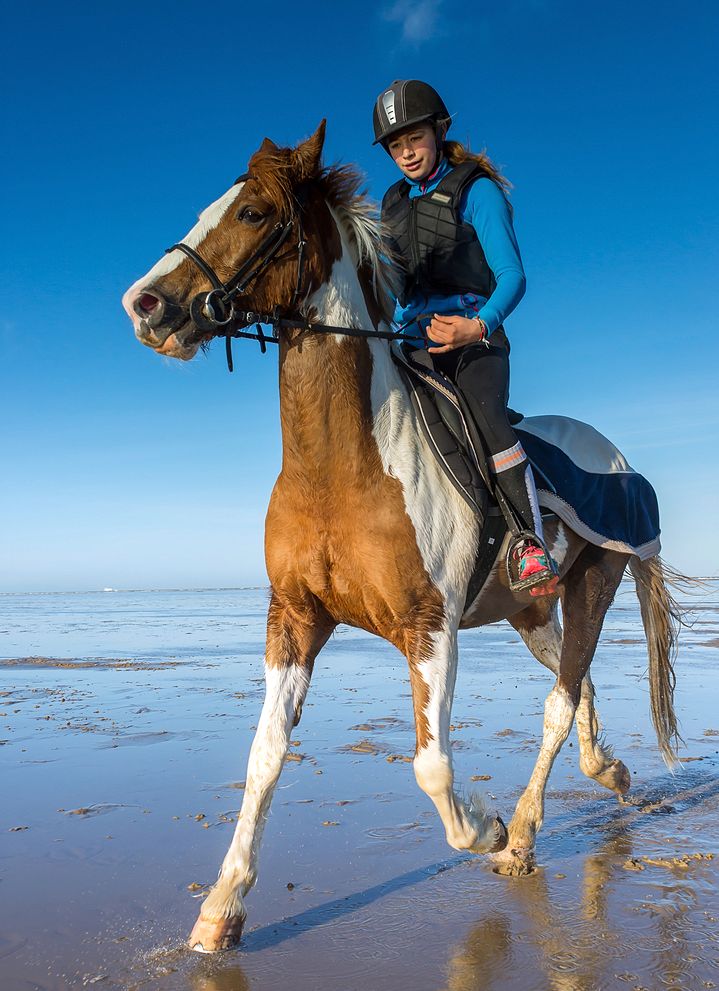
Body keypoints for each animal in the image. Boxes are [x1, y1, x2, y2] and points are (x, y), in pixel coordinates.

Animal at [122, 124, 680, 952]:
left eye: (253, 212)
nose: (144, 303)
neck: (342, 467)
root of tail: (615, 455)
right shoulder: (293, 618)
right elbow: (264, 754)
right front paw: (222, 905)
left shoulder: (427, 627)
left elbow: (431, 767)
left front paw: (484, 827)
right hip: (527, 610)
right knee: (572, 685)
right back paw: (605, 772)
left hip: (592, 583)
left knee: (558, 698)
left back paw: (520, 834)